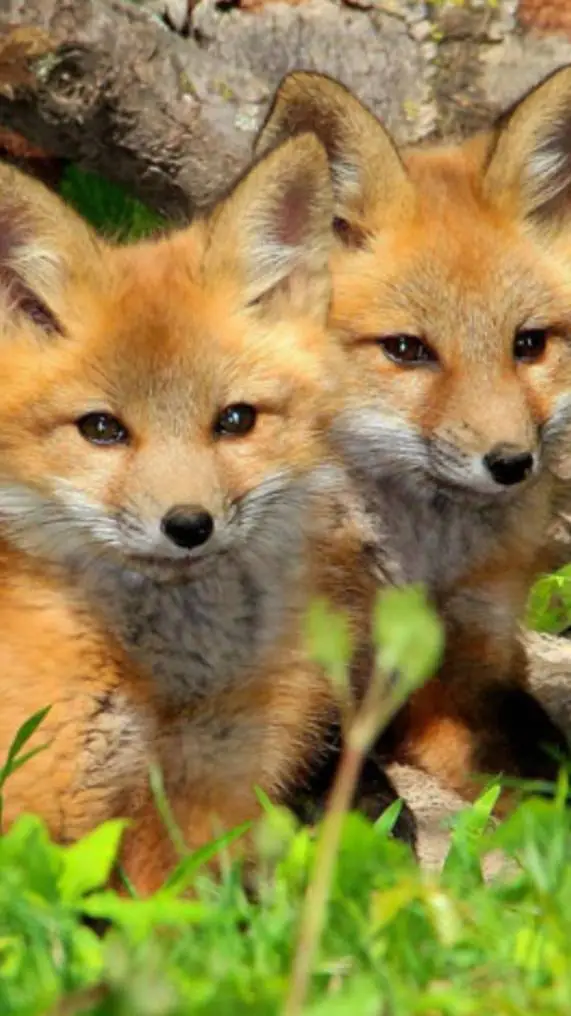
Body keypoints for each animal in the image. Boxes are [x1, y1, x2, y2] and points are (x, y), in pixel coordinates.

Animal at [0, 134, 418, 895]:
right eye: (101, 429)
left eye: (235, 421)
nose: (189, 526)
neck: (171, 691)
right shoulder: (41, 811)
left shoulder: (203, 807)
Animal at [255, 66, 571, 811]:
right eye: (406, 349)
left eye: (529, 344)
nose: (511, 462)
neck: (413, 565)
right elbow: (342, 789)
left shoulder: (470, 662)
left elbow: (542, 766)